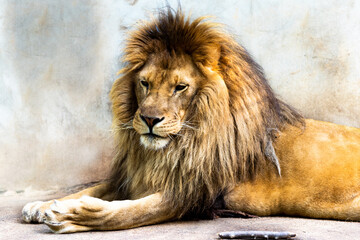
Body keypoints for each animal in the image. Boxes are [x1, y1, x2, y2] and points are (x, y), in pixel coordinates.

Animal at [21, 10, 360, 233]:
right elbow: (97, 187)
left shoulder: (196, 193)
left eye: (180, 87)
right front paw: (42, 204)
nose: (149, 119)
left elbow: (131, 212)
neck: (182, 142)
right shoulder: (138, 175)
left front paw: (72, 216)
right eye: (144, 83)